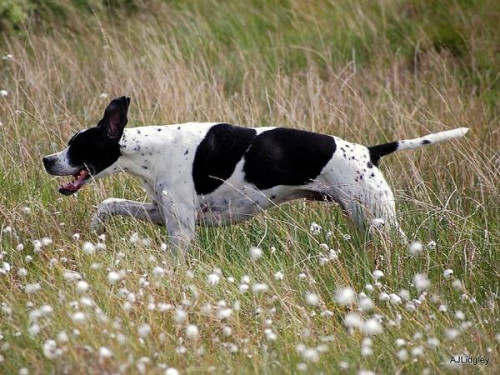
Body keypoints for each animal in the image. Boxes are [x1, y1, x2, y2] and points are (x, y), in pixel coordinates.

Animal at [43, 97, 468, 251]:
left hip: (379, 218)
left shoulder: (182, 231)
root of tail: (369, 151)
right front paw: (96, 227)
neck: (152, 149)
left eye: (76, 146)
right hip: (364, 218)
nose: (47, 160)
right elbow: (109, 202)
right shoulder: (161, 212)